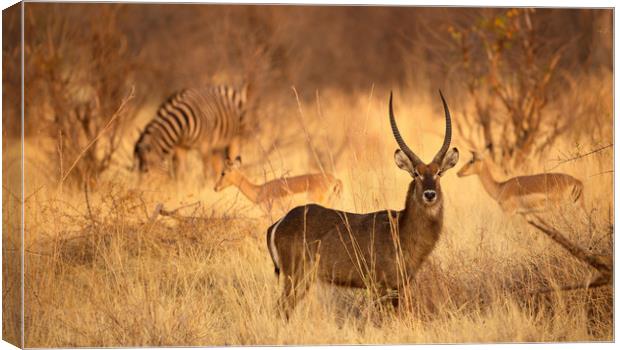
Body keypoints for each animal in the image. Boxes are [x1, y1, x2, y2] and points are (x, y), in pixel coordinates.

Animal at [266, 91, 460, 318]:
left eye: (438, 173)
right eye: (416, 173)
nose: (430, 194)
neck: (401, 228)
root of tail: (278, 223)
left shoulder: (398, 287)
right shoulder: (380, 286)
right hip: (296, 276)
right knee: (281, 309)